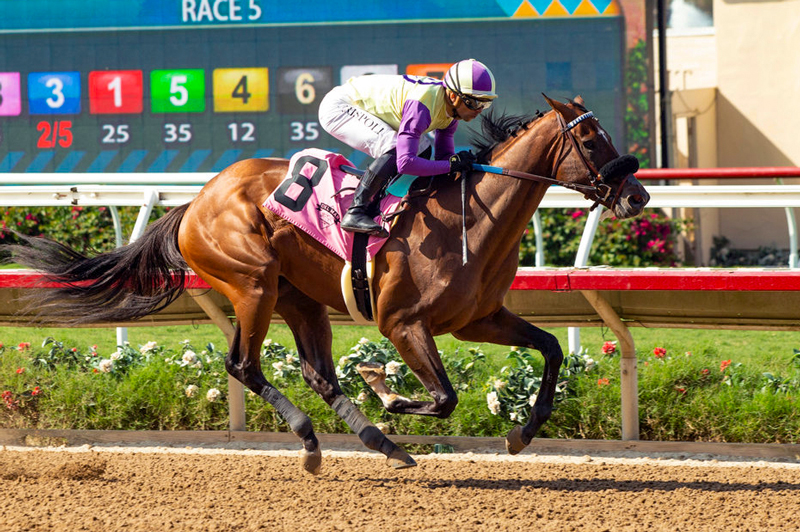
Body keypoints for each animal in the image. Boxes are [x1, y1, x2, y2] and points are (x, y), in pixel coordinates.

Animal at [9, 94, 648, 474]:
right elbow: (443, 397)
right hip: (253, 283)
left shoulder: (477, 320)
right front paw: (384, 388)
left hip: (300, 298)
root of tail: (196, 200)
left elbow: (552, 348)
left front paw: (523, 433)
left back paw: (381, 444)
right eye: (591, 142)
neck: (475, 216)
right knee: (243, 365)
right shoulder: (403, 323)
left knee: (317, 373)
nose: (638, 195)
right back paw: (317, 441)